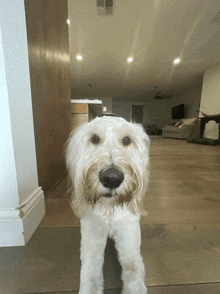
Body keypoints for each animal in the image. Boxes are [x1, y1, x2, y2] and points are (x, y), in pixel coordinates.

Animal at [65, 116, 150, 292]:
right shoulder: (92, 237)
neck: (109, 208)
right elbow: (90, 276)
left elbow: (134, 269)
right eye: (94, 138)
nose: (112, 178)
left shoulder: (128, 234)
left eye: (127, 140)